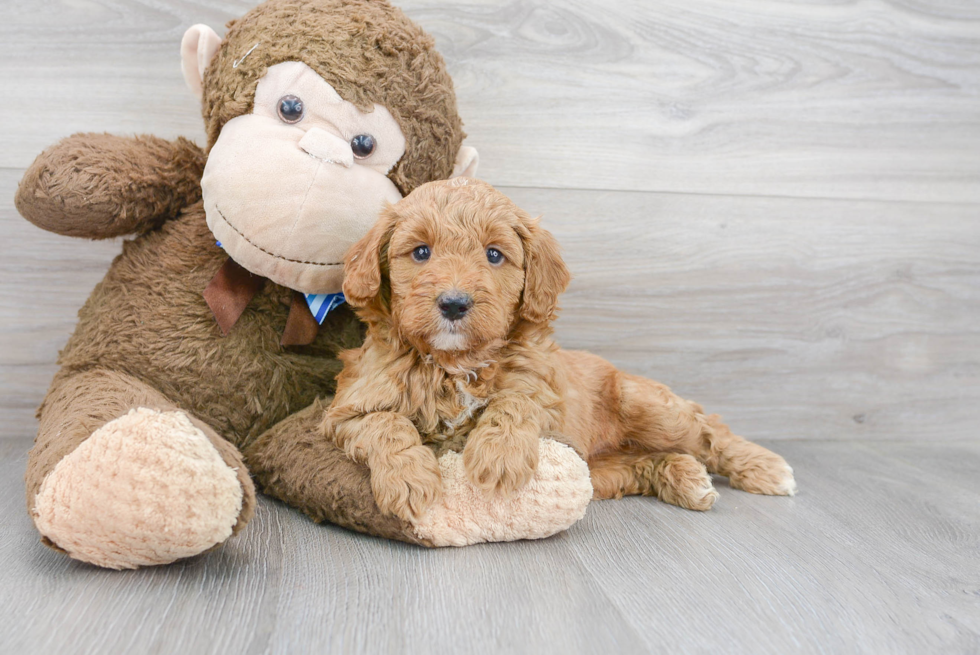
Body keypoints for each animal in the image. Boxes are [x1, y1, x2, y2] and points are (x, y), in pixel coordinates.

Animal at [322, 179, 796, 524]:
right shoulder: (344, 413)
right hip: (597, 469)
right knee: (642, 464)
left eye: (494, 255)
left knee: (709, 428)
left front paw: (499, 457)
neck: (456, 364)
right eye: (420, 251)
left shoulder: (548, 399)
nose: (454, 304)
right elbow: (386, 424)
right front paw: (411, 480)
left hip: (645, 405)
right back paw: (685, 477)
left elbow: (515, 400)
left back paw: (766, 468)